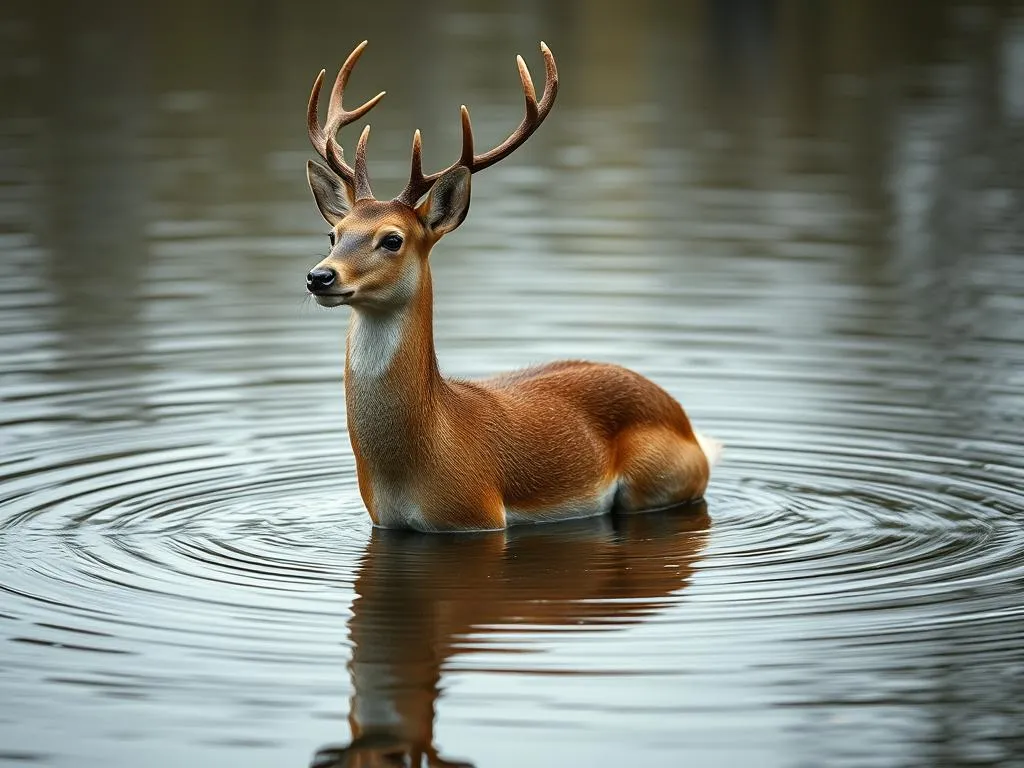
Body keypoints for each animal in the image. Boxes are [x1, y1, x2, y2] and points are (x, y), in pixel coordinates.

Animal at [303, 40, 720, 536]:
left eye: (392, 239)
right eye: (334, 234)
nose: (320, 276)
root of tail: (691, 429)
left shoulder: (479, 516)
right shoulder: (383, 523)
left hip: (655, 476)